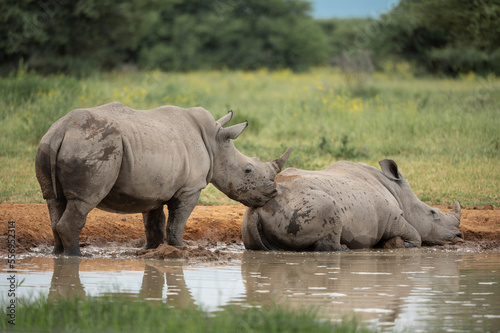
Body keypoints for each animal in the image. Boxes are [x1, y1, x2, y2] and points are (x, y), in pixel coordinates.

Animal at [36, 102, 292, 255]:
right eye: (248, 170)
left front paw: (153, 250)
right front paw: (180, 249)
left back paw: (58, 255)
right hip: (91, 146)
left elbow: (154, 223)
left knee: (54, 201)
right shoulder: (190, 189)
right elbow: (177, 222)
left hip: (51, 143)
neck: (214, 143)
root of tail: (62, 131)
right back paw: (76, 256)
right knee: (83, 201)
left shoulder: (152, 189)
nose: (272, 194)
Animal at [242, 160, 460, 250]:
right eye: (433, 212)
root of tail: (256, 210)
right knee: (330, 211)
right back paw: (344, 249)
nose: (459, 236)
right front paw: (401, 245)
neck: (399, 193)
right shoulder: (394, 219)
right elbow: (416, 235)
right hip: (305, 205)